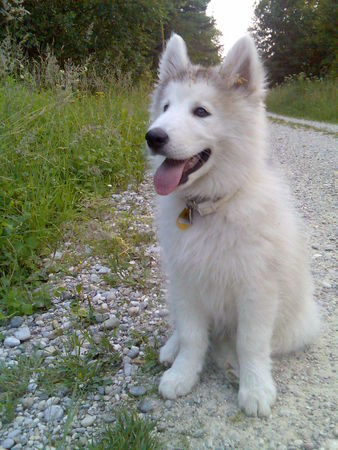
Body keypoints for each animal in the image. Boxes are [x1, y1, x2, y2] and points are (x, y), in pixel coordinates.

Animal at [145, 33, 320, 416]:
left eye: (201, 112)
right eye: (165, 108)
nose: (154, 137)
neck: (210, 207)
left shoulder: (257, 289)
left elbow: (251, 343)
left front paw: (254, 387)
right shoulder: (187, 281)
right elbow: (192, 336)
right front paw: (183, 373)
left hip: (297, 325)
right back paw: (171, 349)